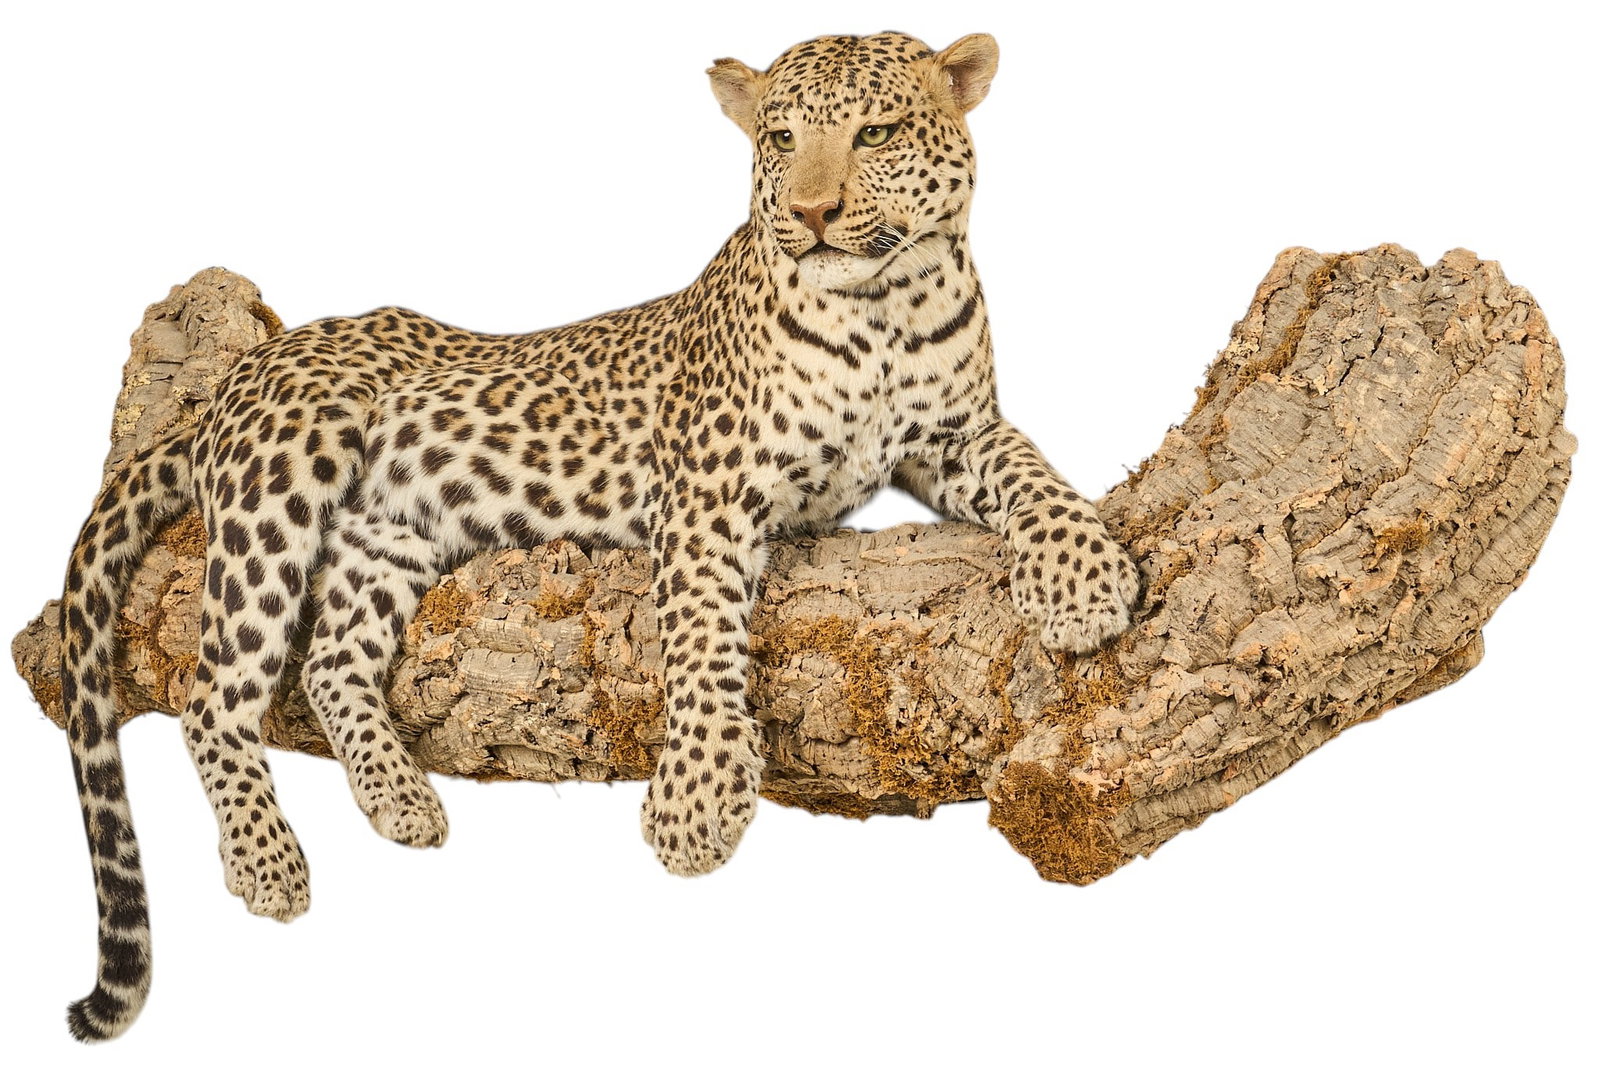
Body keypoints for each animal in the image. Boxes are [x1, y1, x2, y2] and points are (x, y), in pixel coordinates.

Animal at [55, 31, 1141, 1040]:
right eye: (780, 141)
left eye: (874, 134)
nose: (812, 214)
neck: (880, 310)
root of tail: (242, 372)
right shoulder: (708, 491)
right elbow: (700, 639)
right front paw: (696, 803)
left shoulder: (954, 438)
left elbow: (1032, 468)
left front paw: (1082, 580)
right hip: (282, 483)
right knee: (213, 696)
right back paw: (267, 860)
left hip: (389, 533)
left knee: (330, 664)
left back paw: (401, 799)